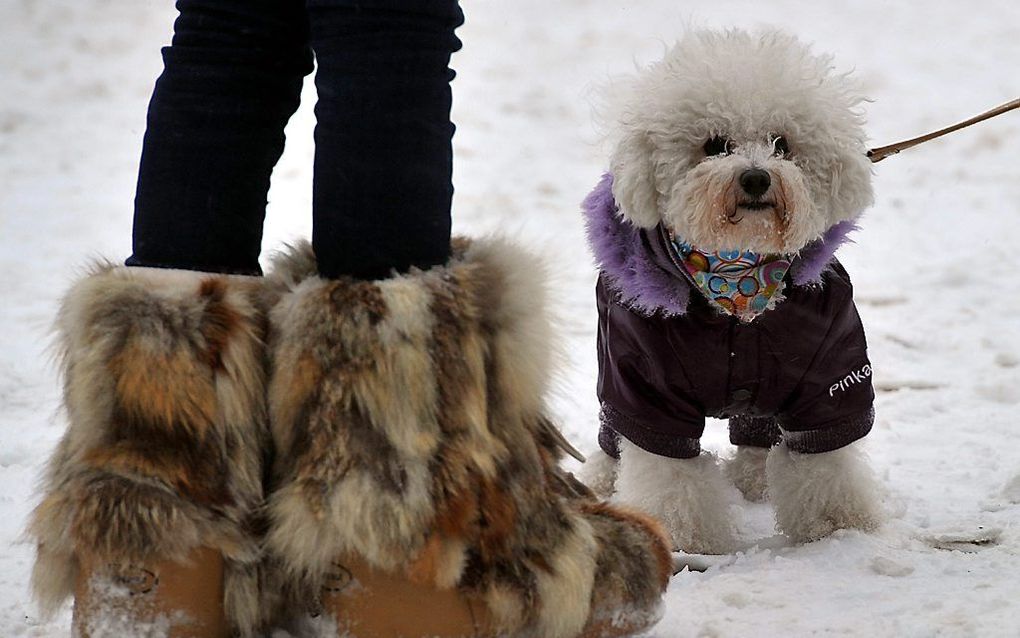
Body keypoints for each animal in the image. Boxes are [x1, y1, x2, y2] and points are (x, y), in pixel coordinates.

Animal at [583, 27, 885, 551]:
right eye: (714, 144)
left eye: (781, 144)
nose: (756, 177)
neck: (738, 281)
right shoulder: (646, 388)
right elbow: (667, 469)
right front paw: (684, 538)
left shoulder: (827, 372)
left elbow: (826, 462)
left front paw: (837, 528)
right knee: (612, 434)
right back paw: (602, 482)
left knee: (758, 429)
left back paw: (754, 480)